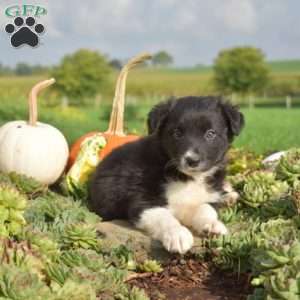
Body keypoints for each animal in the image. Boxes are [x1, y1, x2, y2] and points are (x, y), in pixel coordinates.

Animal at [89, 96, 244, 253]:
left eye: (210, 133)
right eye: (177, 133)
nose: (192, 160)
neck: (188, 178)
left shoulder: (207, 196)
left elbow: (206, 208)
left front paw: (212, 224)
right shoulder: (143, 201)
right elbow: (164, 217)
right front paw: (177, 234)